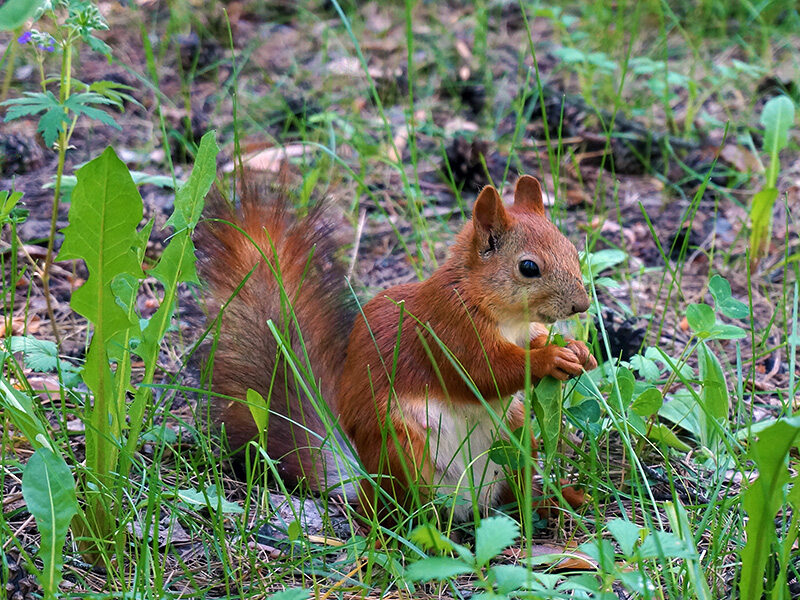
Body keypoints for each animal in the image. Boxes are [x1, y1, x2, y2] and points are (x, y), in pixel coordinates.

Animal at [199, 173, 596, 520]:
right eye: (528, 267)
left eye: (571, 248)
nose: (581, 305)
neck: (504, 317)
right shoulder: (448, 331)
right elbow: (483, 374)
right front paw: (550, 358)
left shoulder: (522, 331)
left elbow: (533, 342)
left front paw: (578, 349)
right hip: (400, 449)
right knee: (402, 512)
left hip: (515, 437)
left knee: (514, 498)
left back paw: (559, 500)